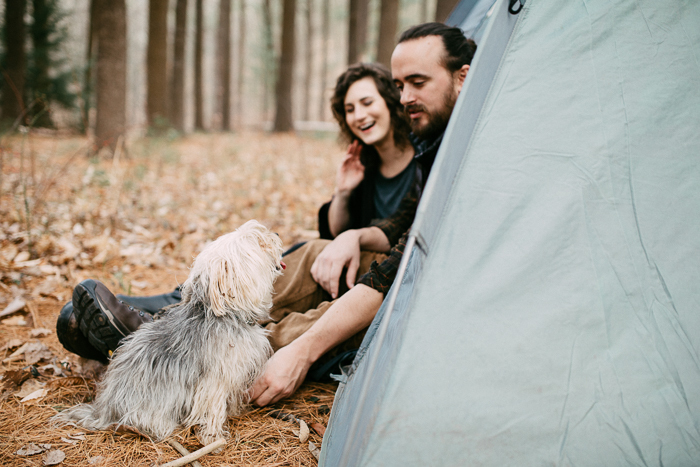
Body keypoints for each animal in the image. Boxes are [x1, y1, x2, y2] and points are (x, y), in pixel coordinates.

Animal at [53, 221, 284, 448]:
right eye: (259, 242)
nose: (277, 234)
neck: (224, 313)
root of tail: (102, 411)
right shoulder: (216, 381)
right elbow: (212, 410)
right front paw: (213, 438)